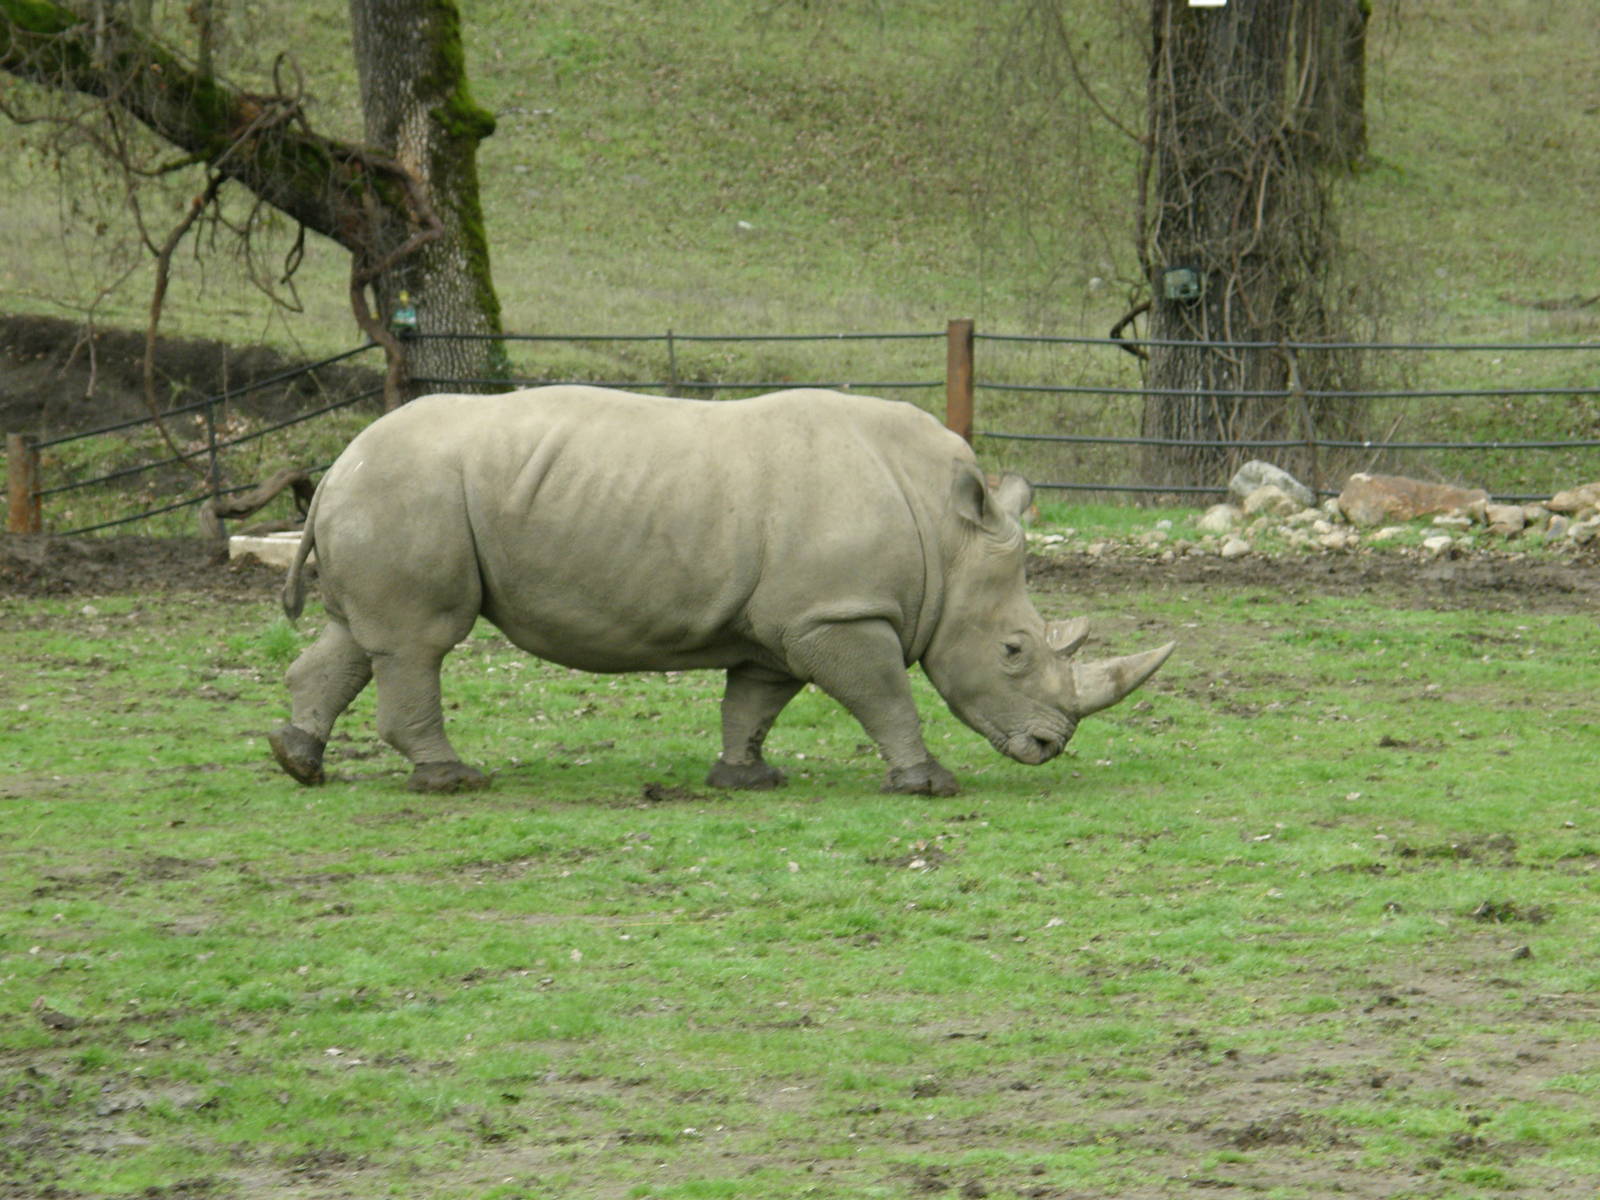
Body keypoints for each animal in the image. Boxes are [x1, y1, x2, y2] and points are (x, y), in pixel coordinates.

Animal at [268, 385, 1174, 795]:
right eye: (1014, 650)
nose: (1050, 745)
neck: (946, 539)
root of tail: (338, 463)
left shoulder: (790, 621)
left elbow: (755, 699)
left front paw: (744, 779)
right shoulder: (839, 612)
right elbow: (886, 696)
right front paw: (927, 783)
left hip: (387, 497)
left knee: (360, 638)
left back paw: (298, 762)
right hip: (409, 493)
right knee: (419, 640)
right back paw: (454, 780)